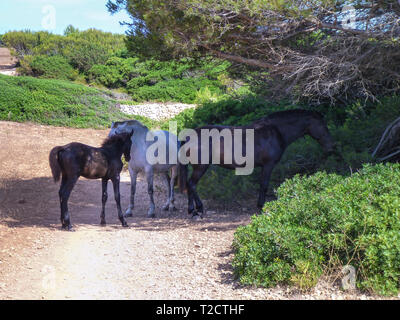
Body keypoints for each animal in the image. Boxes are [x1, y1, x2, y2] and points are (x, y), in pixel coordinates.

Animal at [180, 109, 340, 216]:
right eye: (322, 125)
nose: (332, 146)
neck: (275, 131)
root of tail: (189, 136)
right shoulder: (268, 165)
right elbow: (264, 185)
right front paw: (261, 206)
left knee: (189, 185)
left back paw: (192, 209)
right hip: (201, 167)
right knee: (192, 184)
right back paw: (198, 209)